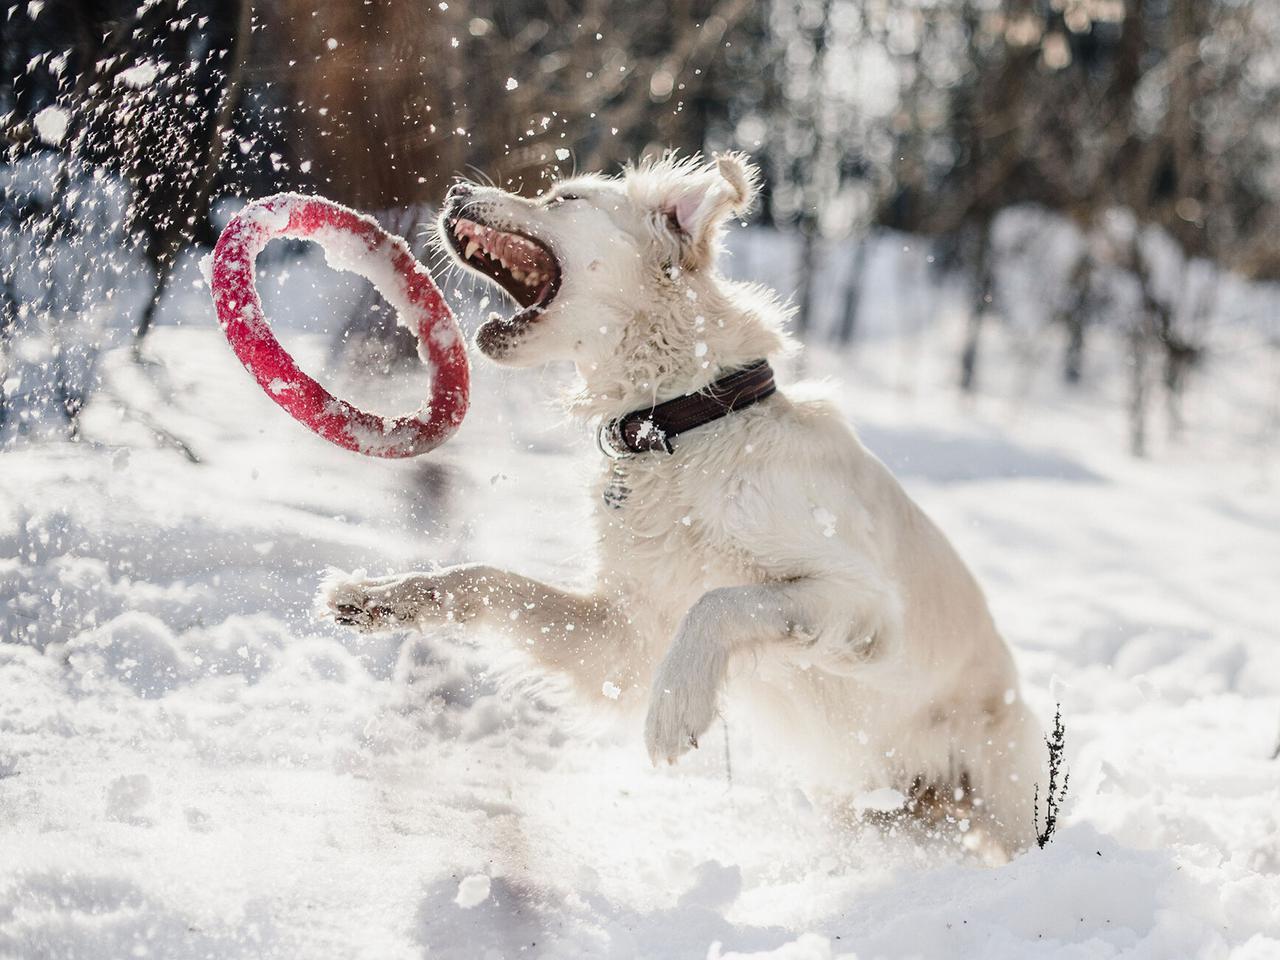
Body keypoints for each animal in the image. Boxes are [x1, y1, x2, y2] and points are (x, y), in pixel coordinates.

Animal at [325, 156, 1044, 855]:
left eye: (565, 199)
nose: (453, 189)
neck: (684, 422)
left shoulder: (865, 603)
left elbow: (721, 601)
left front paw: (675, 709)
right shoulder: (627, 637)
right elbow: (485, 579)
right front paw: (381, 596)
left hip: (1003, 790)